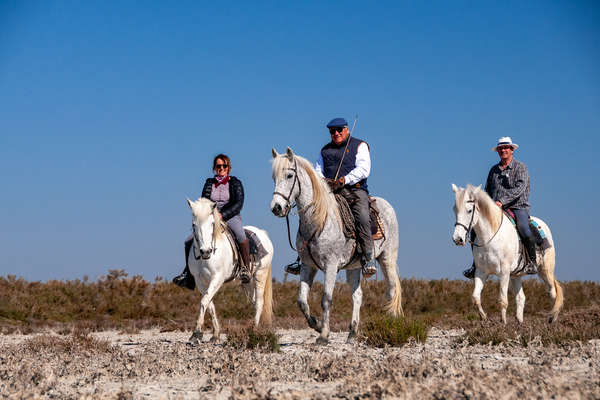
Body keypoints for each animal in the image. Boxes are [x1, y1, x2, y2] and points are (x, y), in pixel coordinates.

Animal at [185, 198, 274, 344]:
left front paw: (196, 333)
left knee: (259, 302)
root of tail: (263, 233)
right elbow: (209, 304)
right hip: (247, 281)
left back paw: (254, 330)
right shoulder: (200, 281)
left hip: (261, 274)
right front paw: (215, 334)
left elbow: (204, 301)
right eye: (193, 225)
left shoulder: (217, 278)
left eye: (212, 224)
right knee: (254, 301)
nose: (206, 251)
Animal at [270, 147, 404, 344]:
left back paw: (392, 325)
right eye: (274, 177)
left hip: (387, 258)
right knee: (357, 296)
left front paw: (324, 335)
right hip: (354, 267)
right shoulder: (308, 266)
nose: (276, 208)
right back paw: (352, 333)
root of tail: (388, 206)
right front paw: (316, 325)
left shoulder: (331, 265)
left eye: (289, 175)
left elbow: (326, 299)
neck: (319, 219)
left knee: (392, 290)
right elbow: (301, 300)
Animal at [452, 184, 564, 324]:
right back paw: (520, 322)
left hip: (545, 270)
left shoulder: (504, 273)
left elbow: (503, 300)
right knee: (521, 298)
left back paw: (552, 320)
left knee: (552, 292)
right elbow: (476, 297)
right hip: (516, 275)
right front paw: (484, 318)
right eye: (455, 210)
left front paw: (503, 323)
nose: (457, 239)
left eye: (469, 210)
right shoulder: (481, 272)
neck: (491, 237)